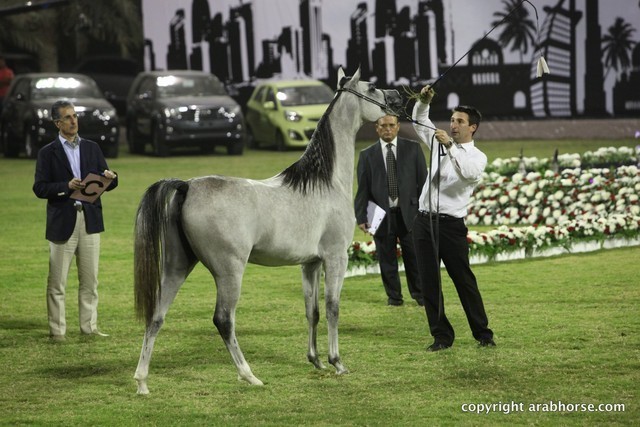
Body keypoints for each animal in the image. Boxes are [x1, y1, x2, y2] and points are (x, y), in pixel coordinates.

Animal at [133, 67, 402, 394]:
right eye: (372, 87)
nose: (398, 98)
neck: (325, 183)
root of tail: (187, 186)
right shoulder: (336, 258)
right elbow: (332, 307)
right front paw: (337, 362)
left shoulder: (310, 264)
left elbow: (311, 310)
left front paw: (316, 361)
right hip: (229, 272)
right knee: (223, 320)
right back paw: (249, 375)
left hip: (177, 266)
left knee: (156, 316)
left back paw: (142, 381)